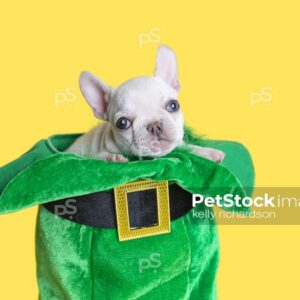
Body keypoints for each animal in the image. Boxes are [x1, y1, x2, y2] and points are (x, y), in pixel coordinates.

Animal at [66, 44, 225, 163]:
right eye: (122, 123)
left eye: (173, 105)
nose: (154, 125)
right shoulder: (92, 154)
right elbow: (98, 156)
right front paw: (113, 157)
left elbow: (185, 146)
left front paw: (206, 151)